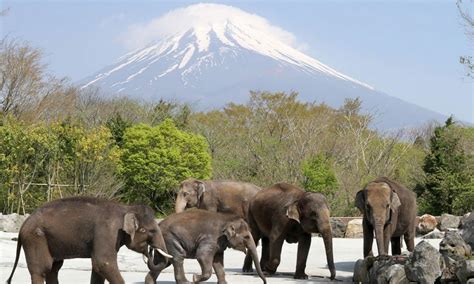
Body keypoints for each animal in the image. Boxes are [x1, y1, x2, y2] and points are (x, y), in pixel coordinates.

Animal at [5, 196, 172, 284]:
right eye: (149, 231)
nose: (149, 251)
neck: (126, 208)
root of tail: (24, 224)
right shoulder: (107, 231)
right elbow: (103, 263)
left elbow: (98, 268)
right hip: (35, 238)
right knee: (41, 269)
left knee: (54, 268)